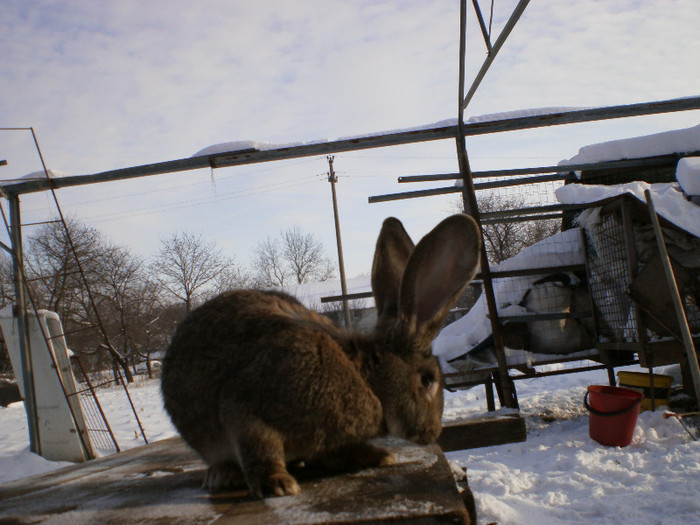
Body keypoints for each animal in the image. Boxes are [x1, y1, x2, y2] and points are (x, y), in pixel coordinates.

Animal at [162, 214, 484, 500]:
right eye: (427, 381)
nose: (432, 432)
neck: (367, 378)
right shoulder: (248, 405)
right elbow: (259, 446)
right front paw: (276, 485)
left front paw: (377, 456)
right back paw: (224, 476)